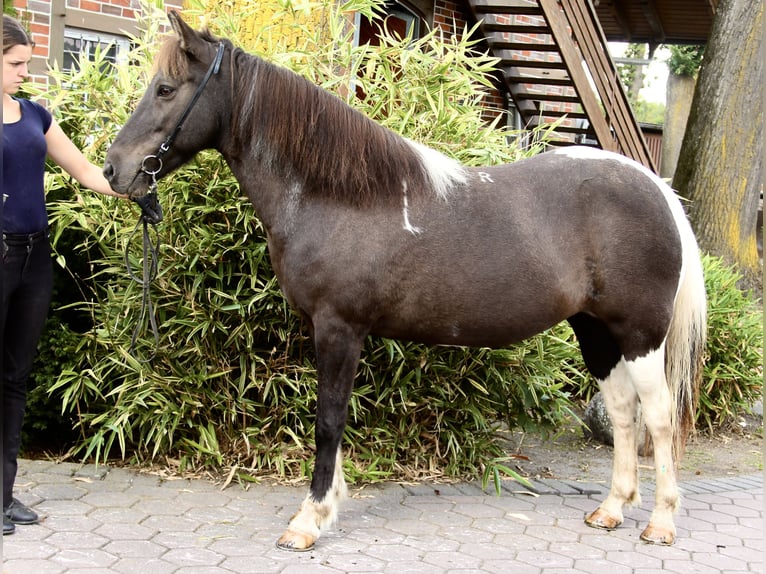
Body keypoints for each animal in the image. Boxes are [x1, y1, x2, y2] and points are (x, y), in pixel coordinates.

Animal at [103, 11, 707, 550]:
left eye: (165, 89)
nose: (113, 169)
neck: (338, 195)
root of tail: (656, 187)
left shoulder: (339, 329)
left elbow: (328, 421)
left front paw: (309, 519)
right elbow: (336, 420)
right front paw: (329, 506)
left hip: (640, 335)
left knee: (659, 418)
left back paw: (661, 522)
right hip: (596, 331)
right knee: (624, 413)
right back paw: (612, 509)